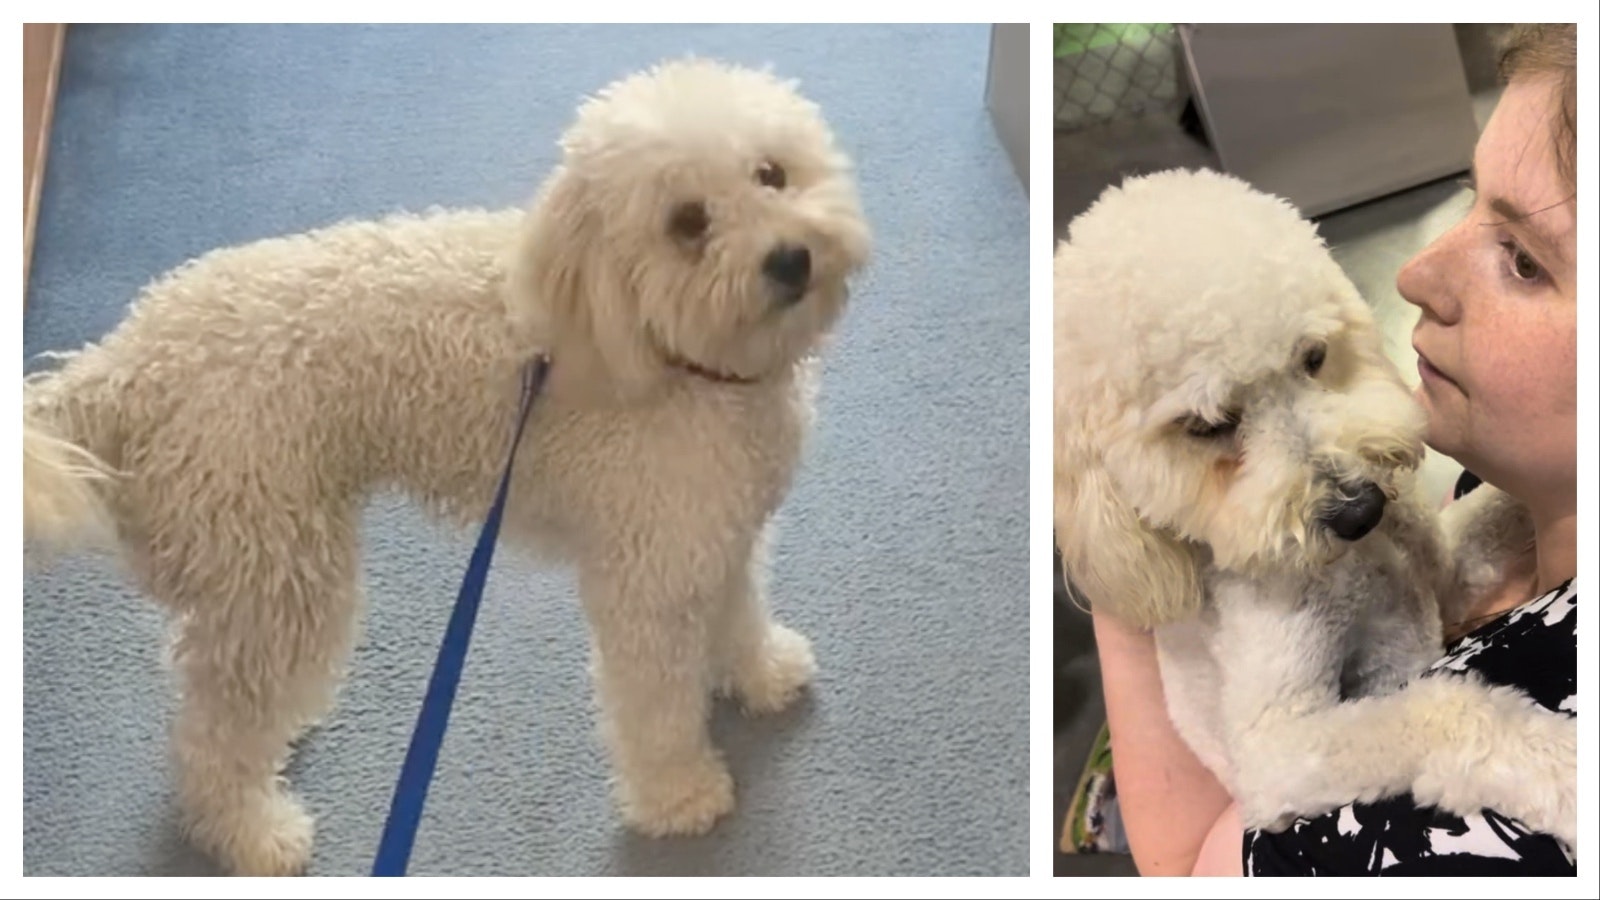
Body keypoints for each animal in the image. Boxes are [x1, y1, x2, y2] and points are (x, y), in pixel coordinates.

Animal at [21, 59, 876, 871]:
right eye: (688, 223)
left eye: (771, 173)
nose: (791, 258)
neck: (675, 357)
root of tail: (126, 364)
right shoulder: (648, 581)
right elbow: (657, 704)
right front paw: (680, 794)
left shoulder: (718, 534)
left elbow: (739, 615)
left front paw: (762, 674)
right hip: (278, 571)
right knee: (211, 737)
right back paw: (254, 833)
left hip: (245, 571)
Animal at [1049, 171, 1574, 851]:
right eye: (1206, 426)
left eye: (1314, 357)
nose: (1362, 510)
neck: (1348, 566)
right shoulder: (1280, 751)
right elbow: (1443, 710)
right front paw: (1566, 766)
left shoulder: (1447, 572)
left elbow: (1496, 506)